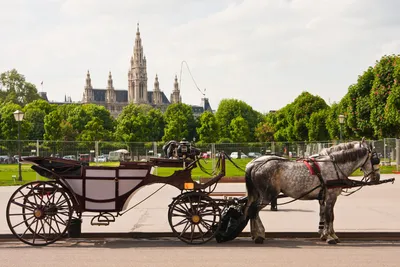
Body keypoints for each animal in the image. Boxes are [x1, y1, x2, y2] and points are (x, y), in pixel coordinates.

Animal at [245, 139, 380, 246]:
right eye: (375, 159)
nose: (377, 177)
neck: (334, 166)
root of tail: (254, 165)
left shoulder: (325, 198)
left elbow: (327, 215)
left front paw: (328, 235)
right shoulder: (331, 197)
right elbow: (330, 216)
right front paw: (330, 237)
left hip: (259, 194)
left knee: (250, 209)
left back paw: (255, 234)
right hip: (268, 195)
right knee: (254, 210)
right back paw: (259, 235)